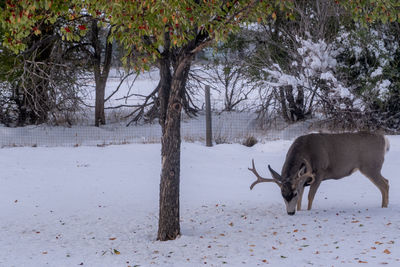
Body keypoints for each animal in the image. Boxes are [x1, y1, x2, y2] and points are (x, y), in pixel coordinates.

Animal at [248, 133, 390, 217]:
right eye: (282, 194)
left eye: (294, 193)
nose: (290, 213)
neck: (304, 150)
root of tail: (384, 139)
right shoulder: (302, 180)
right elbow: (301, 198)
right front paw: (299, 210)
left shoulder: (320, 173)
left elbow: (310, 196)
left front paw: (308, 211)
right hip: (373, 168)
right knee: (387, 181)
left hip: (370, 166)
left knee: (384, 185)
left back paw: (384, 208)